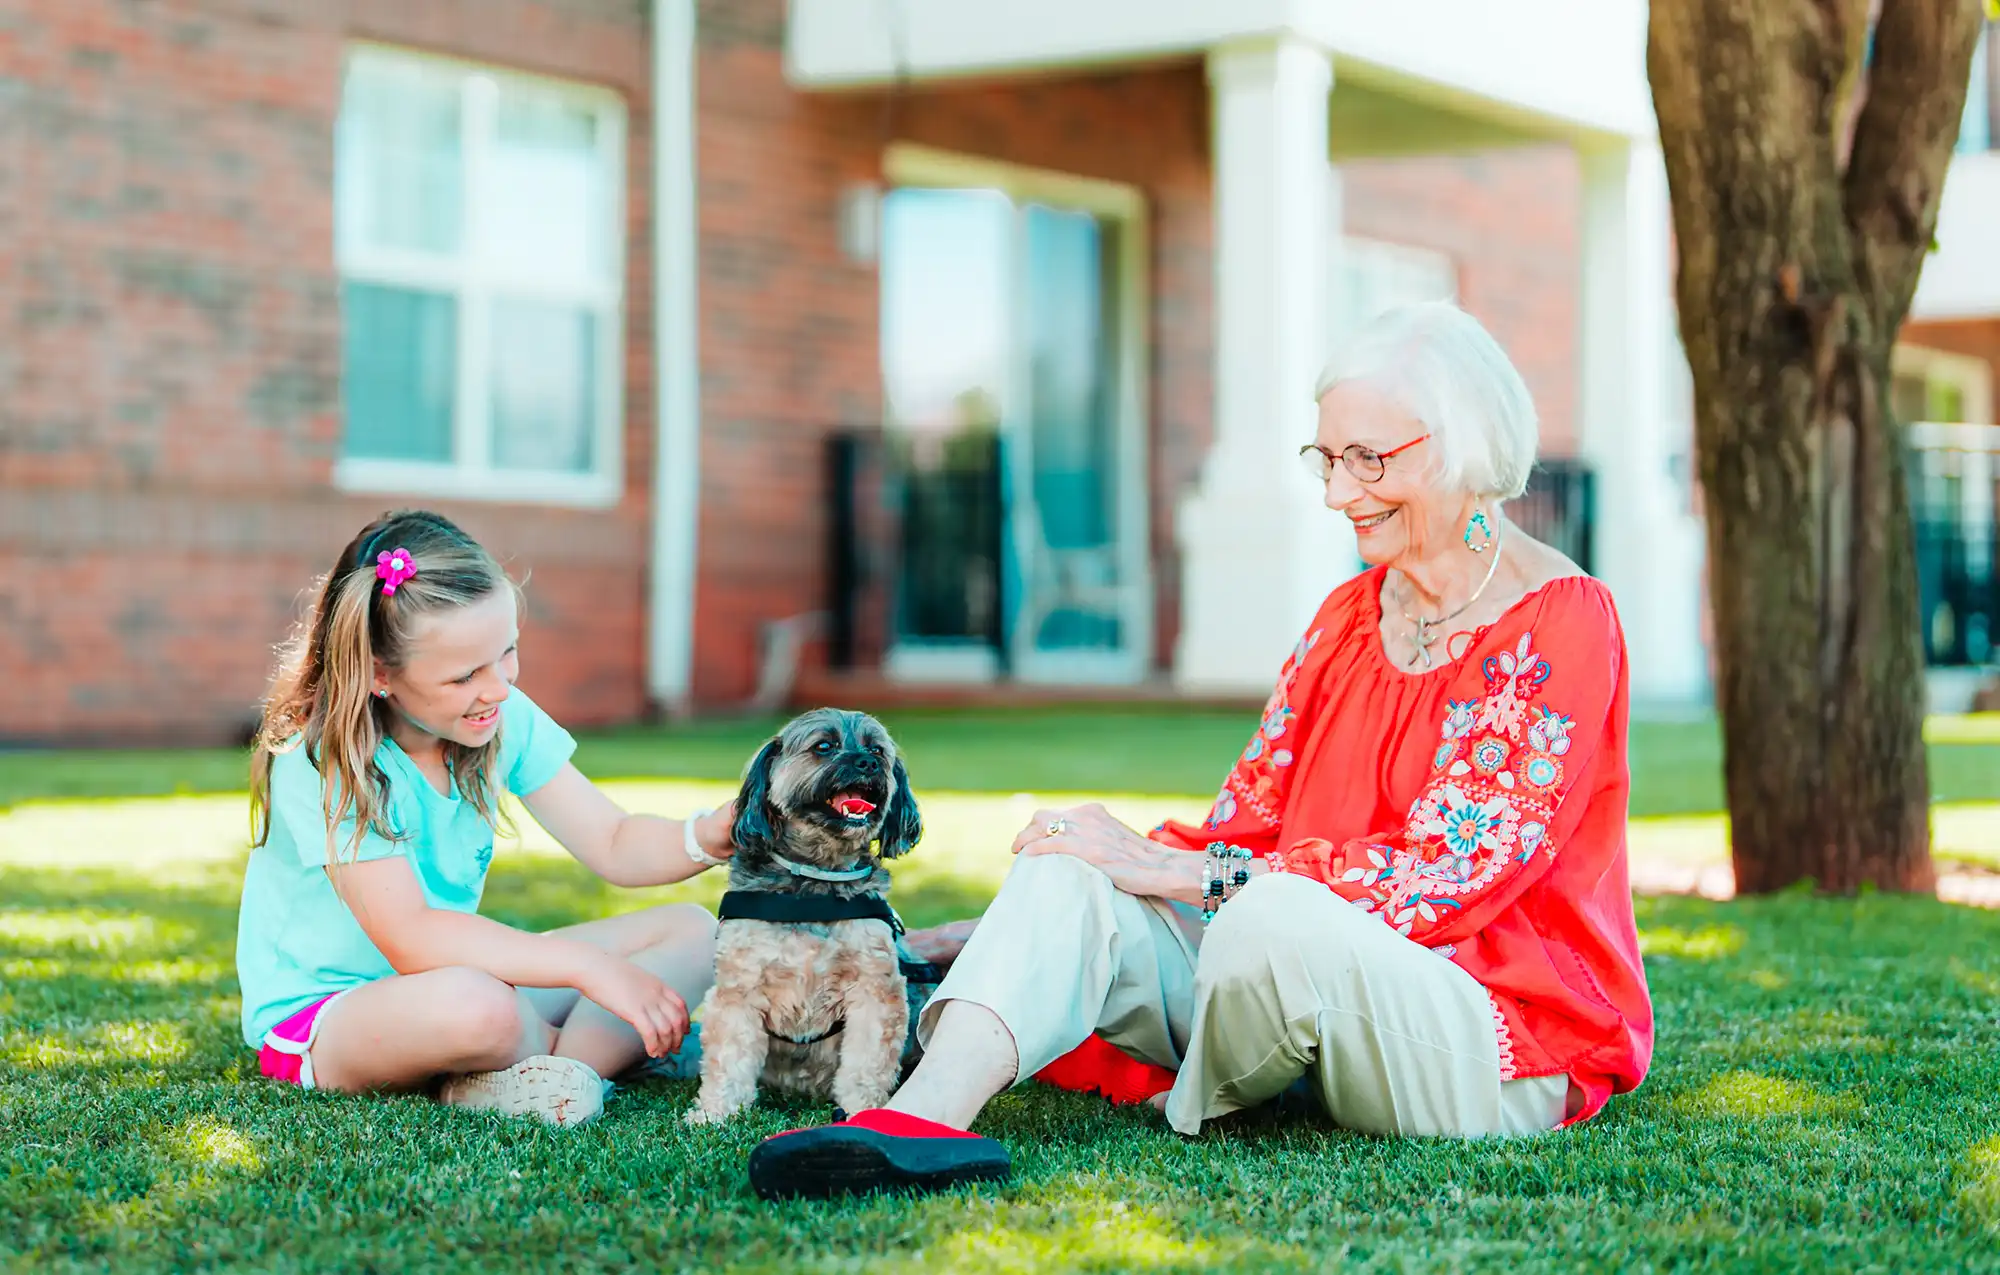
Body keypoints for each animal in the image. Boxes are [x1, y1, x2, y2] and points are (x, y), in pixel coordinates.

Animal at [684, 711, 924, 1127]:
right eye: (824, 746)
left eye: (877, 750)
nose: (868, 763)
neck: (815, 880)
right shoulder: (737, 989)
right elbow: (728, 1058)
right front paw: (715, 1113)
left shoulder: (877, 989)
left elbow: (867, 1062)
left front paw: (862, 1109)